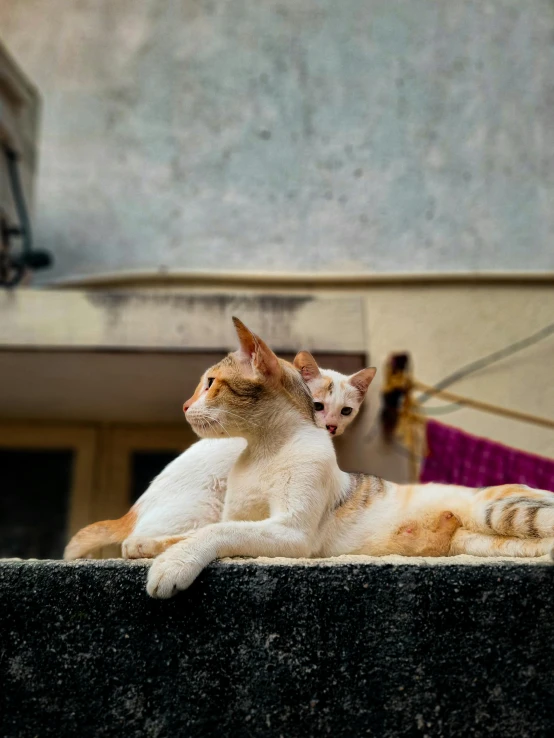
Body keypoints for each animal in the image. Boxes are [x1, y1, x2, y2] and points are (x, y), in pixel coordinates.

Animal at [140, 320, 552, 596]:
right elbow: (197, 529)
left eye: (210, 384)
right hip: (484, 541)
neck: (261, 450)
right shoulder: (242, 514)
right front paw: (145, 546)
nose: (184, 405)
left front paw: (172, 564)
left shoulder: (292, 530)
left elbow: (216, 531)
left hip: (504, 512)